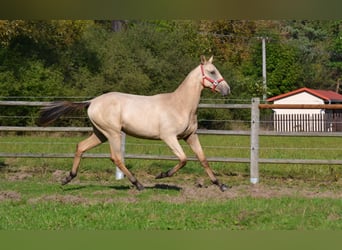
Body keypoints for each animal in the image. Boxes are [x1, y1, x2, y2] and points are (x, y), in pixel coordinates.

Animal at [38, 55, 231, 191]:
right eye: (212, 71)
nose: (227, 90)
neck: (180, 105)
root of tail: (92, 101)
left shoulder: (190, 136)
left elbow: (203, 159)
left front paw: (221, 185)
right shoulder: (169, 137)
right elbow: (183, 159)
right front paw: (161, 175)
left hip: (100, 134)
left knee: (81, 147)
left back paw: (67, 178)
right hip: (112, 133)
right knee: (115, 157)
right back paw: (138, 184)